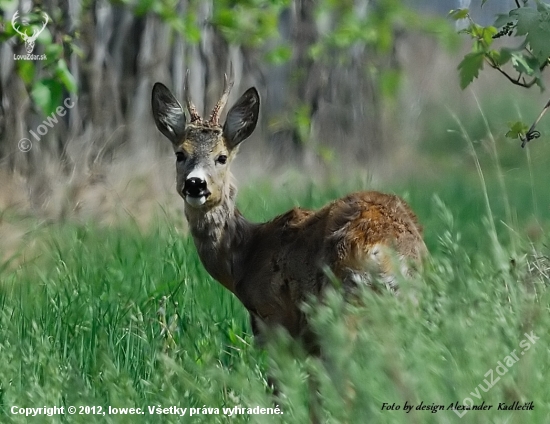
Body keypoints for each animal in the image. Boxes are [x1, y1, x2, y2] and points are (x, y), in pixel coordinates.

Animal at [151, 72, 426, 354]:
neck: (245, 257)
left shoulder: (272, 318)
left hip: (339, 310)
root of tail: (382, 252)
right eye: (180, 154)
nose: (195, 183)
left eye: (222, 157)